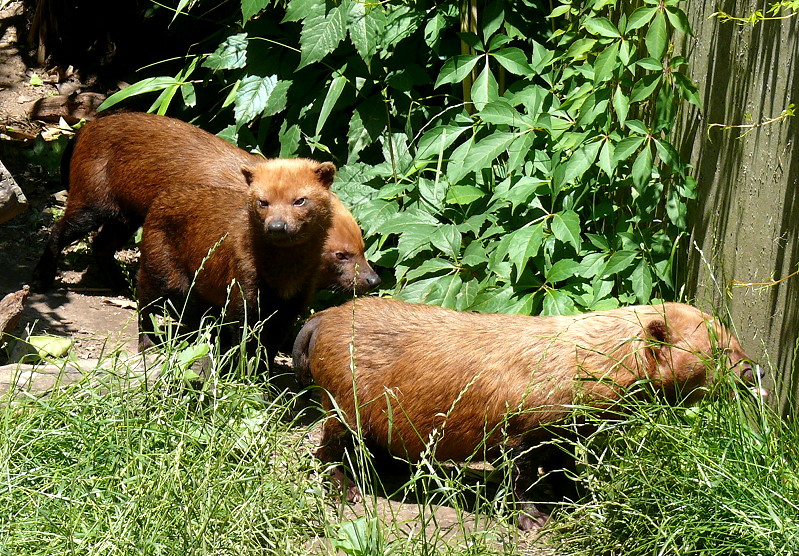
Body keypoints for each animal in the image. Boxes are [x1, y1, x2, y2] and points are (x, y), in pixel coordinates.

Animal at [32, 111, 380, 298]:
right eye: (341, 254)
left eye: (363, 248)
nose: (374, 280)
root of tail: (84, 129)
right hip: (92, 203)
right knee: (59, 231)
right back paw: (41, 280)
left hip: (125, 215)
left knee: (101, 245)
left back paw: (122, 287)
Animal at [138, 157, 334, 364]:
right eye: (263, 202)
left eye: (299, 200)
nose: (277, 226)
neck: (283, 276)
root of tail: (162, 195)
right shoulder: (243, 293)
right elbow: (244, 344)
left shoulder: (291, 306)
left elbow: (269, 348)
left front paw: (263, 372)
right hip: (165, 276)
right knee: (143, 300)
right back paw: (145, 343)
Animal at [292, 300, 764, 528]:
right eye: (717, 350)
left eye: (733, 339)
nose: (755, 369)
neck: (575, 362)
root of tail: (319, 319)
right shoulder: (517, 432)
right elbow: (519, 480)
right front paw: (533, 519)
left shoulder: (570, 432)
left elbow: (567, 471)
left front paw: (578, 499)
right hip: (344, 406)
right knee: (325, 448)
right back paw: (347, 488)